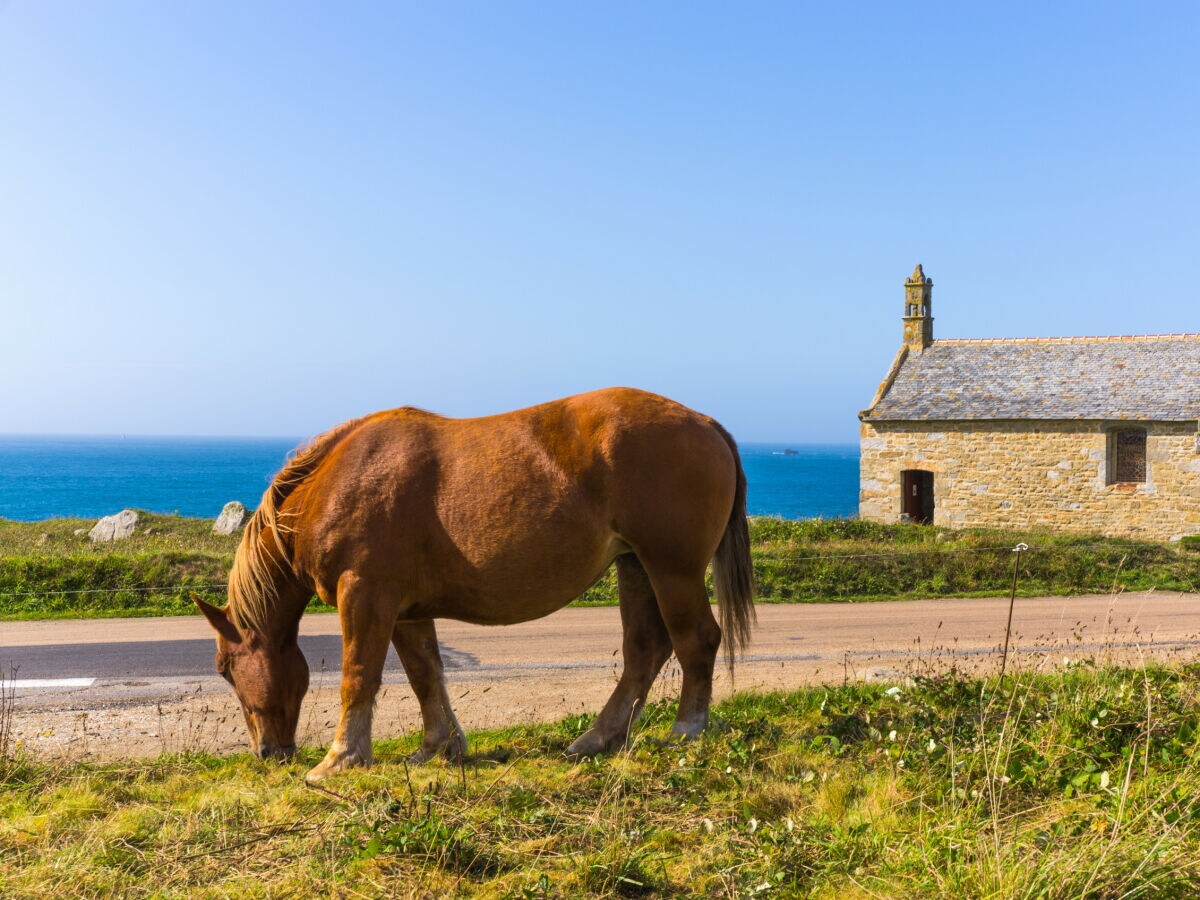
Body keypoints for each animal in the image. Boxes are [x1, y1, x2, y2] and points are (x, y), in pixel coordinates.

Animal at [198, 388, 753, 782]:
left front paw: (341, 758)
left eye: (225, 669)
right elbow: (426, 675)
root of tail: (707, 424)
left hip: (672, 569)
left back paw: (685, 731)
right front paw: (438, 746)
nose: (267, 752)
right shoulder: (407, 610)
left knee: (696, 640)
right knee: (645, 649)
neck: (334, 484)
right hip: (635, 566)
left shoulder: (365, 596)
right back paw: (597, 739)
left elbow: (359, 675)